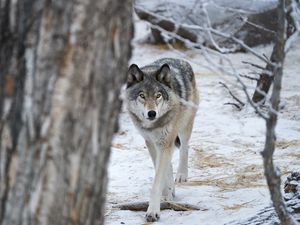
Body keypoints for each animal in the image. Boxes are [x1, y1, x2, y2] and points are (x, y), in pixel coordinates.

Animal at [125, 58, 199, 221]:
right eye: (142, 95)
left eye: (158, 95)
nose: (152, 113)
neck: (154, 125)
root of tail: (180, 59)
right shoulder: (151, 142)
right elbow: (162, 172)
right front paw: (167, 194)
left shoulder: (165, 142)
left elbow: (157, 181)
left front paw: (153, 211)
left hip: (184, 126)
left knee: (184, 148)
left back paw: (181, 175)